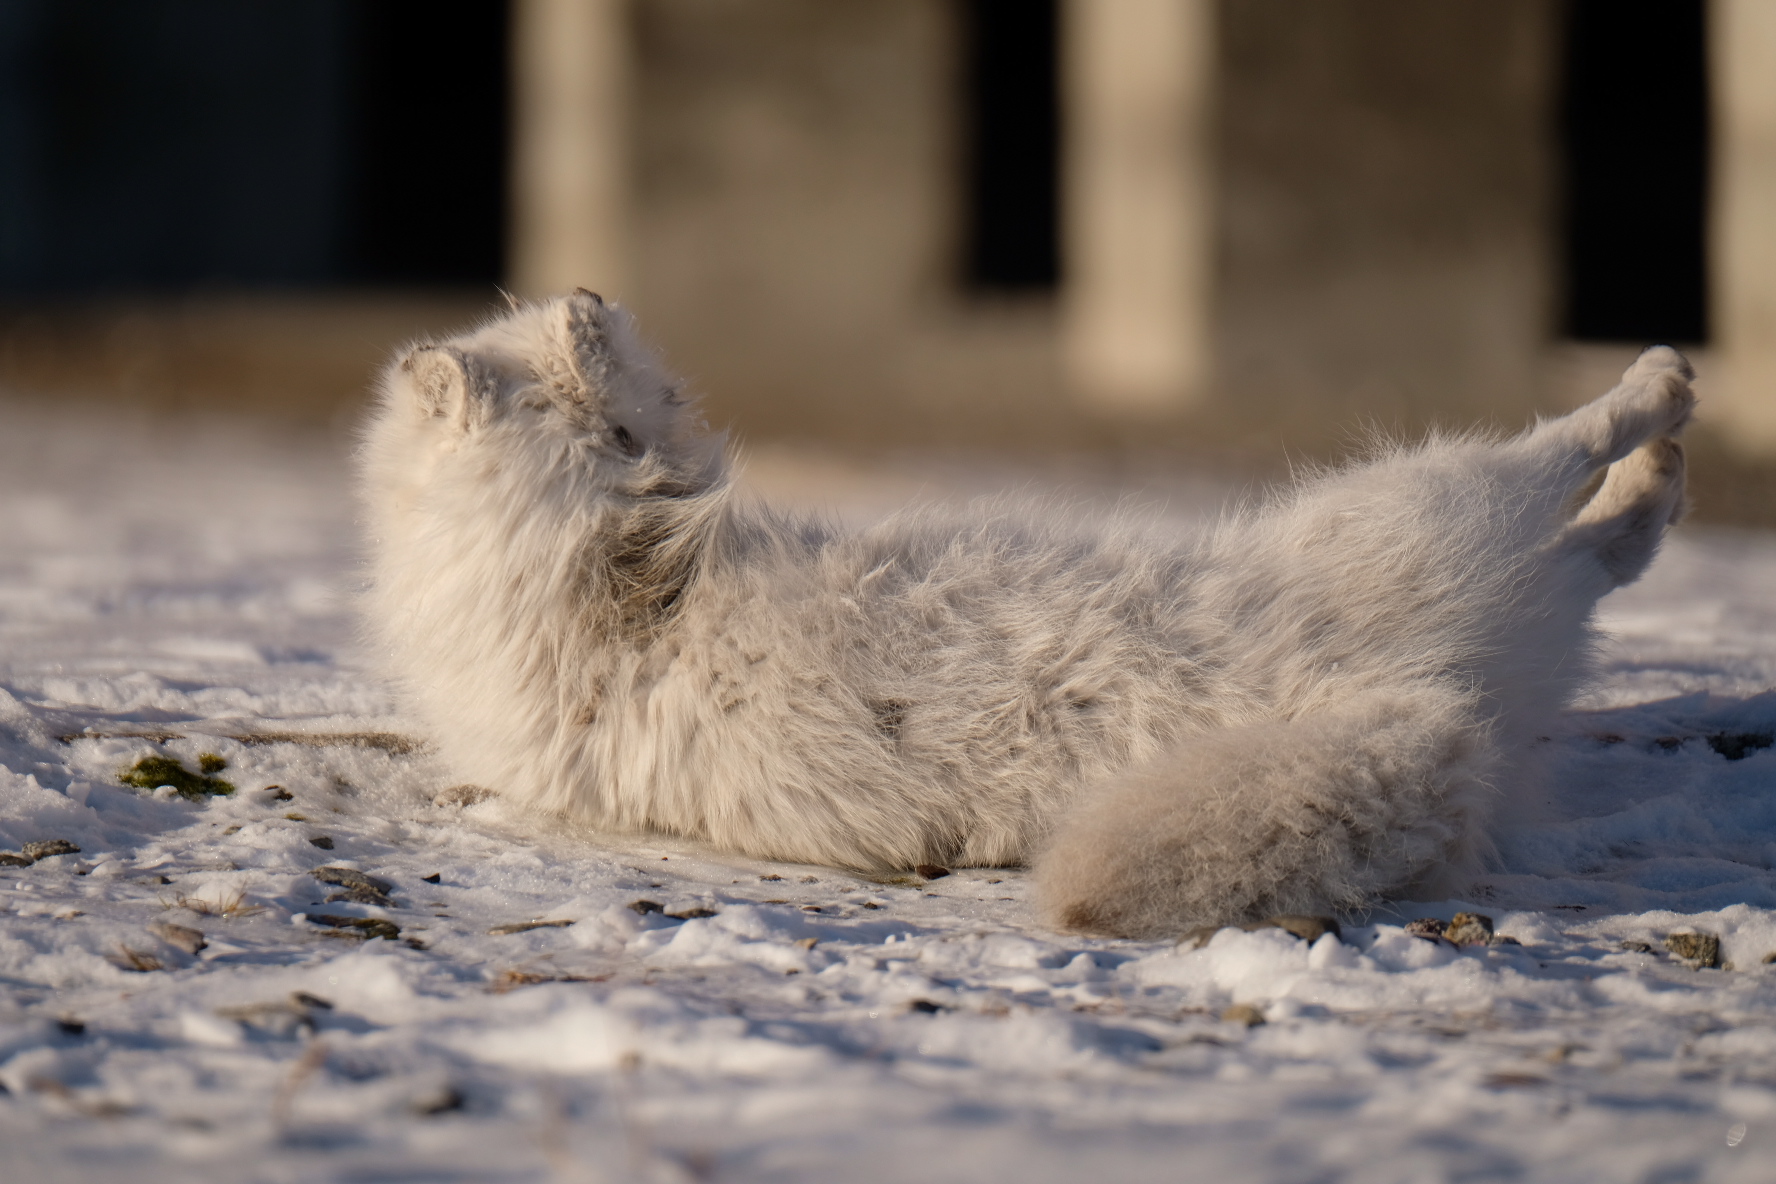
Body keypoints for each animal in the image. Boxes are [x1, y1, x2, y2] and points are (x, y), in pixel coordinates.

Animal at [356, 291, 1690, 937]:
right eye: (649, 394)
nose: (589, 292)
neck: (591, 565)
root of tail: (1412, 701)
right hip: (1432, 504)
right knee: (1568, 476)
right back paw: (1660, 401)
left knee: (1603, 553)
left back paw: (1660, 477)